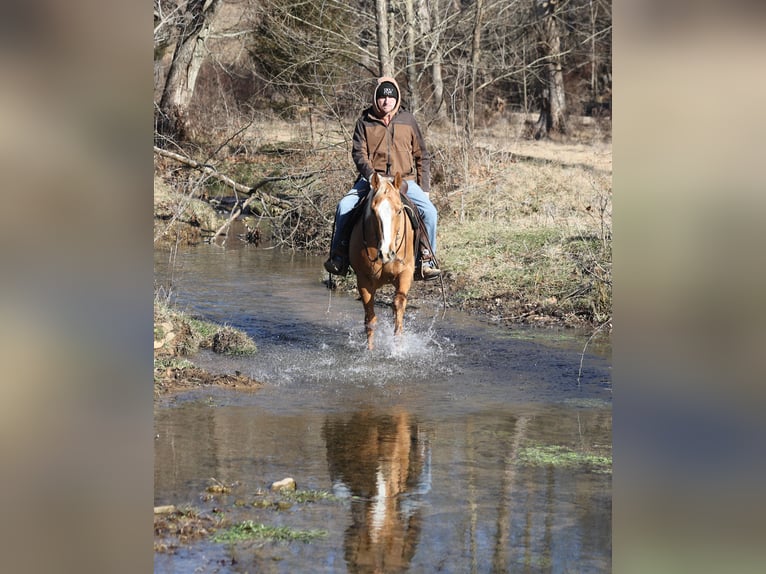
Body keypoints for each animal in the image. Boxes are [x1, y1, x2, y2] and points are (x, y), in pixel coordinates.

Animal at [348, 172, 416, 350]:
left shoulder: (406, 272)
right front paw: (370, 350)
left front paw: (397, 348)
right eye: (373, 211)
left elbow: (398, 305)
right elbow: (370, 318)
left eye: (399, 211)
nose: (386, 253)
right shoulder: (363, 280)